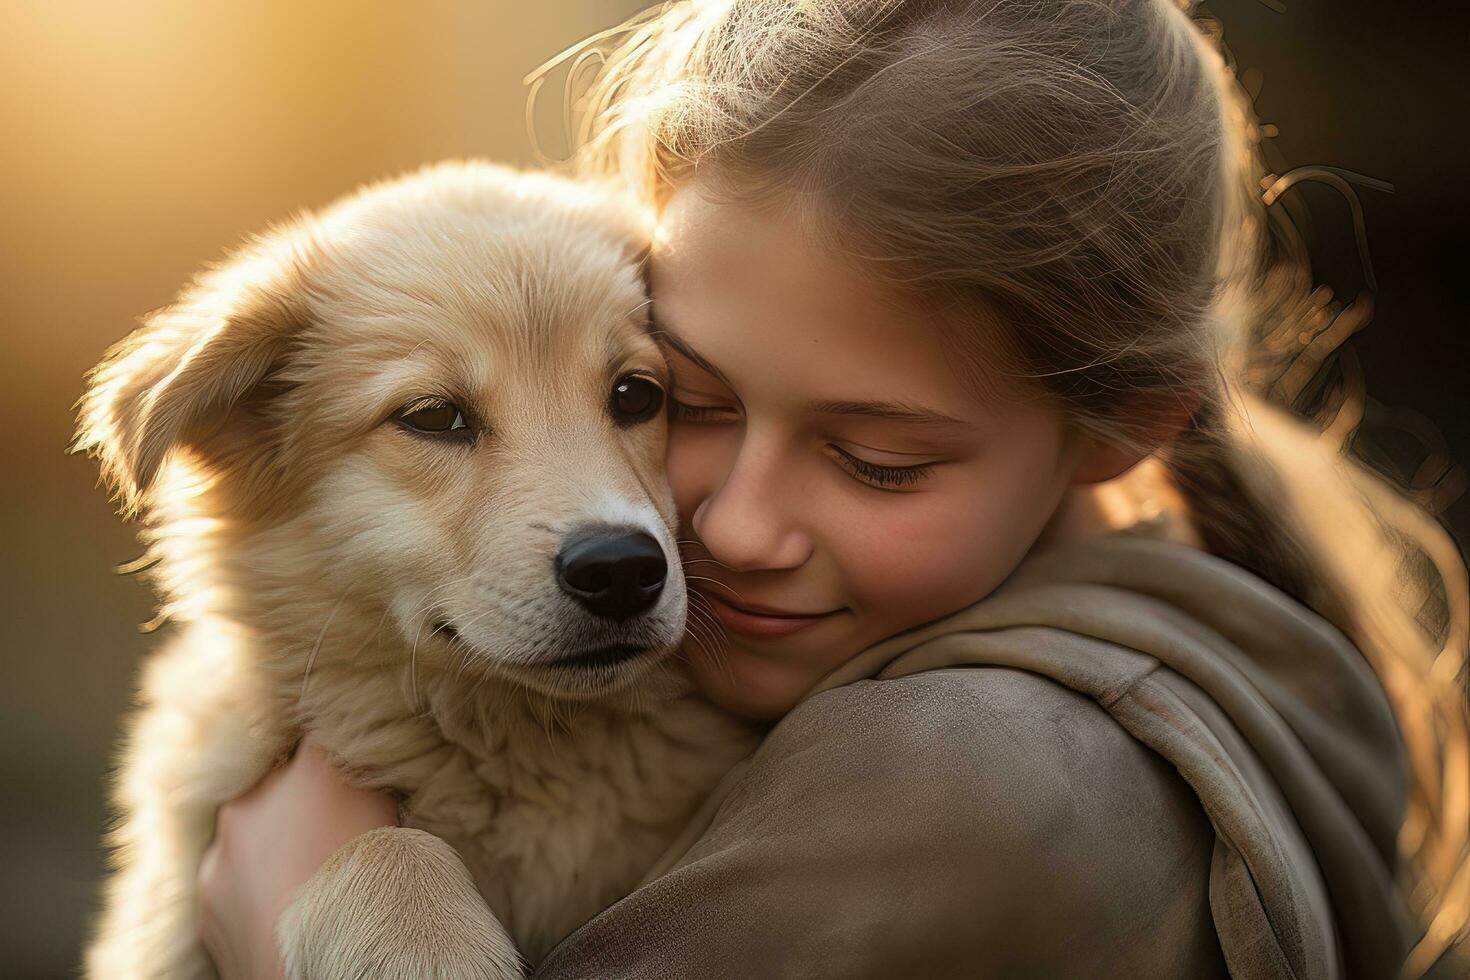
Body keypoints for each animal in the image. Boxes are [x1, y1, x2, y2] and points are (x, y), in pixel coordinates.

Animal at [76, 164, 758, 975]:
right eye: (433, 417)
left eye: (637, 395)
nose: (621, 569)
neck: (517, 737)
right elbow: (389, 844)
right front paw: (425, 939)